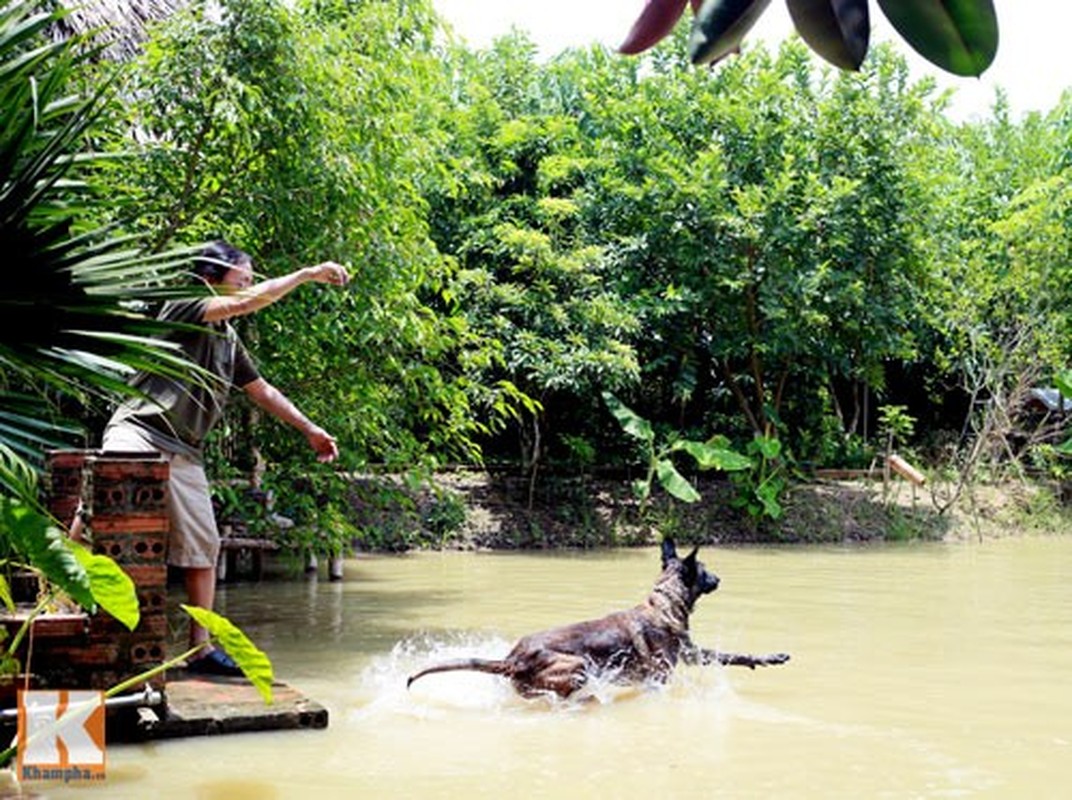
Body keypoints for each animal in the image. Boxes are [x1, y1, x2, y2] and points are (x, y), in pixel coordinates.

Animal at [403, 536, 788, 699]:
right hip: (577, 667)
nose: (720, 579)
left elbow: (732, 656)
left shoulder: (693, 654)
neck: (664, 603)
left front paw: (767, 658)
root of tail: (512, 659)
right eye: (706, 570)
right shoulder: (661, 675)